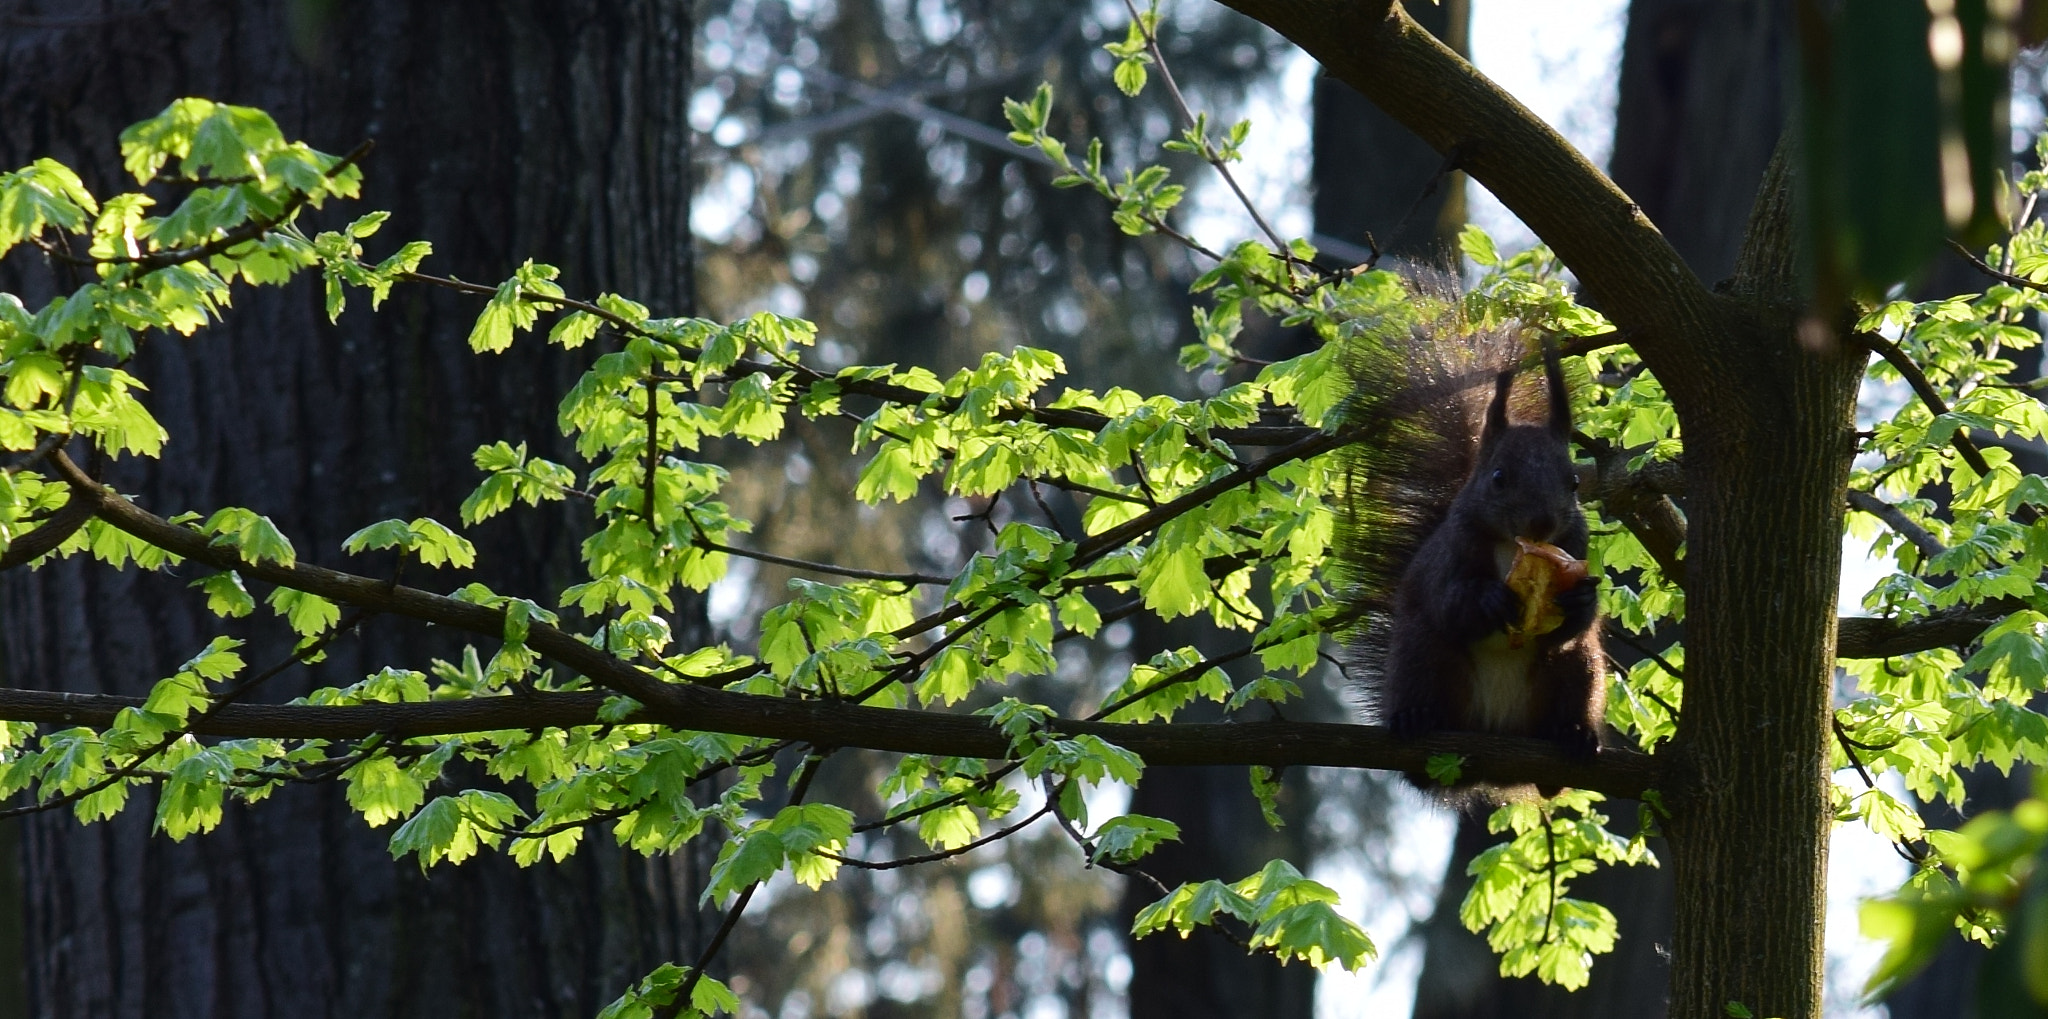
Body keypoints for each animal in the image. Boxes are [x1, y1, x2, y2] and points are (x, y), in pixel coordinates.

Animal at [1333, 288, 1606, 781]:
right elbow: (1449, 601)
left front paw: (1580, 600)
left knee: (1572, 662)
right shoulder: (1454, 551)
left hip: (1578, 669)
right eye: (1498, 477)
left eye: (1575, 482)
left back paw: (1573, 734)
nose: (1541, 524)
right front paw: (1488, 600)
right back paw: (1416, 718)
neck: (1513, 546)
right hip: (1425, 658)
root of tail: (1497, 738)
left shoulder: (1576, 545)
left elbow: (1575, 622)